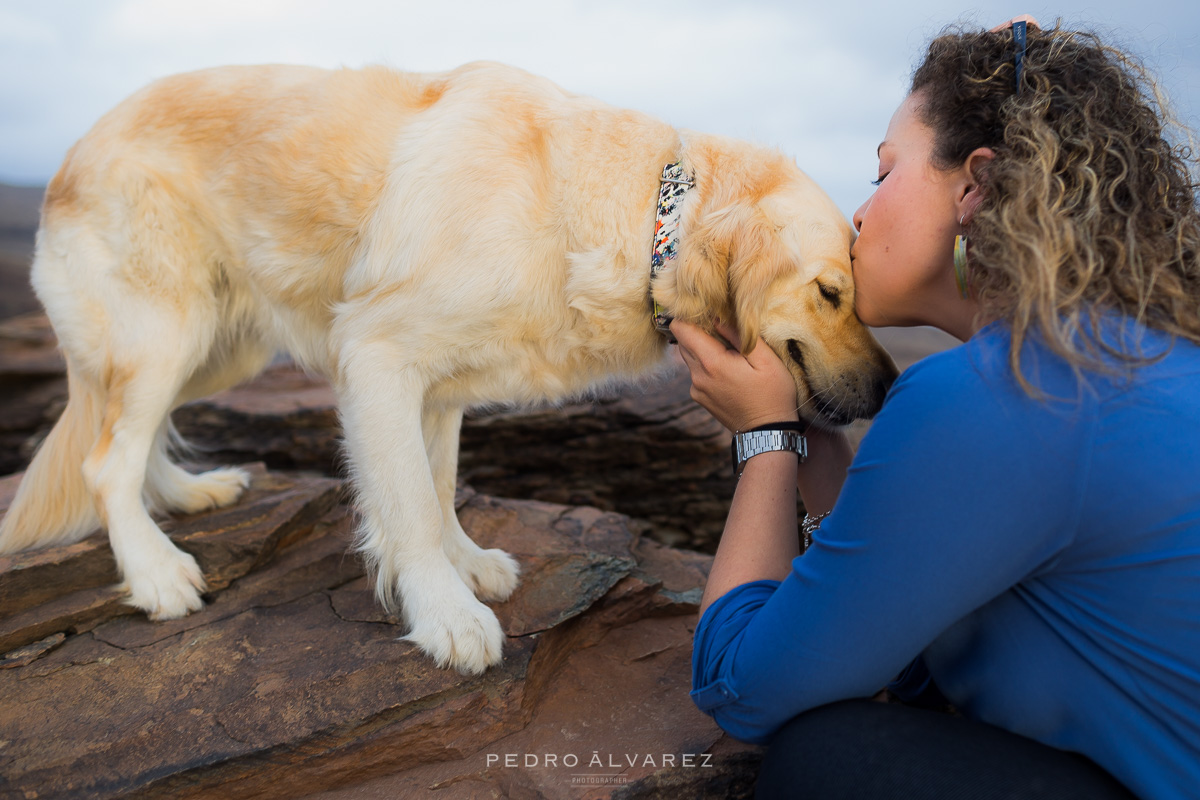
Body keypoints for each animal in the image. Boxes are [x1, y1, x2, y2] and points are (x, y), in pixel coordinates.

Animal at [0, 64, 897, 676]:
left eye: (858, 292)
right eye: (831, 293)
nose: (890, 388)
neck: (646, 212)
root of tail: (71, 150)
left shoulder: (436, 390)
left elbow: (435, 490)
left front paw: (466, 564)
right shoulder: (378, 357)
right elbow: (406, 503)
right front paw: (445, 615)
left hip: (220, 344)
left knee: (134, 436)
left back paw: (189, 496)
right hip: (167, 328)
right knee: (105, 459)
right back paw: (155, 572)